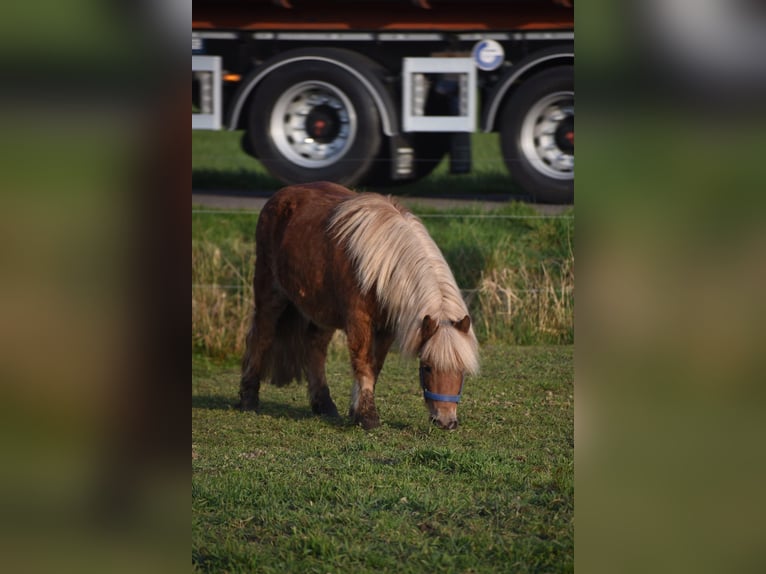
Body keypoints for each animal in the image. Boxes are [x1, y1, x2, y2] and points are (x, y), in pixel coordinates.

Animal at [238, 181, 479, 429]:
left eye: (462, 370)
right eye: (427, 367)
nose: (446, 421)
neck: (383, 263)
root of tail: (282, 194)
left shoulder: (386, 328)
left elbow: (374, 366)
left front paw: (357, 412)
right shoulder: (359, 320)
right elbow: (362, 363)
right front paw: (367, 417)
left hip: (321, 309)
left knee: (315, 349)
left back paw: (324, 405)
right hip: (270, 294)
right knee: (261, 337)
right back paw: (248, 399)